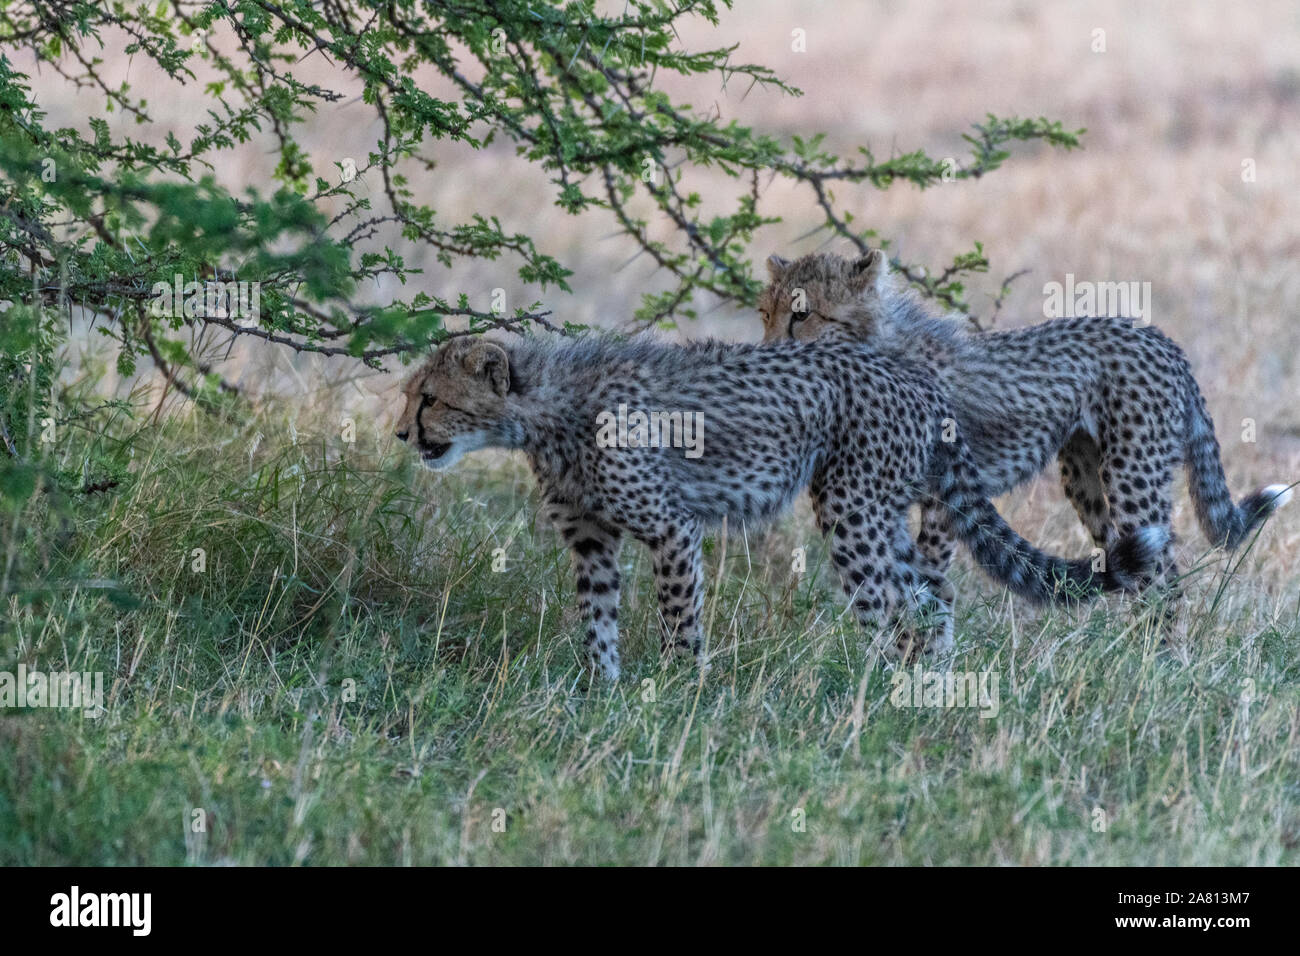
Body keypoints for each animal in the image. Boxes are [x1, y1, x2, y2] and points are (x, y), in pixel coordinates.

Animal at [394, 333, 1166, 679]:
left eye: (429, 397)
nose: (401, 433)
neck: (545, 410)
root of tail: (915, 372)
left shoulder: (670, 528)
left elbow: (679, 622)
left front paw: (677, 695)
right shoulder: (592, 543)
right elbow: (598, 622)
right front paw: (599, 693)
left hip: (852, 511)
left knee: (896, 606)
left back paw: (880, 694)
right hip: (872, 511)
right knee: (929, 599)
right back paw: (928, 685)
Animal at [758, 248, 1292, 601]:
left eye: (802, 314)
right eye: (766, 313)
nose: (767, 353)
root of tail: (1160, 337)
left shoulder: (944, 495)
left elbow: (929, 571)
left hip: (1132, 478)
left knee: (1165, 577)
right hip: (1085, 479)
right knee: (1129, 562)